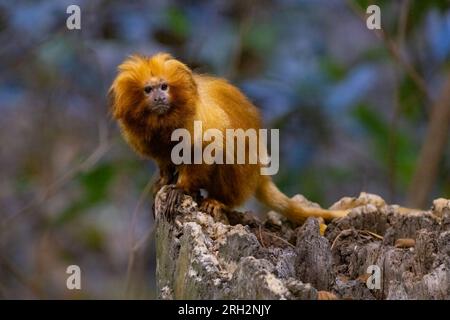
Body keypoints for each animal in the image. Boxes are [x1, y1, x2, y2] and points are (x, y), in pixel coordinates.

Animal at [109, 52, 348, 225]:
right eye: (148, 89)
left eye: (164, 86)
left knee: (230, 148)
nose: (159, 97)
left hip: (243, 175)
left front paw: (181, 188)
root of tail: (258, 173)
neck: (166, 120)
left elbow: (210, 144)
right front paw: (164, 181)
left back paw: (219, 201)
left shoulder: (199, 121)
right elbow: (164, 158)